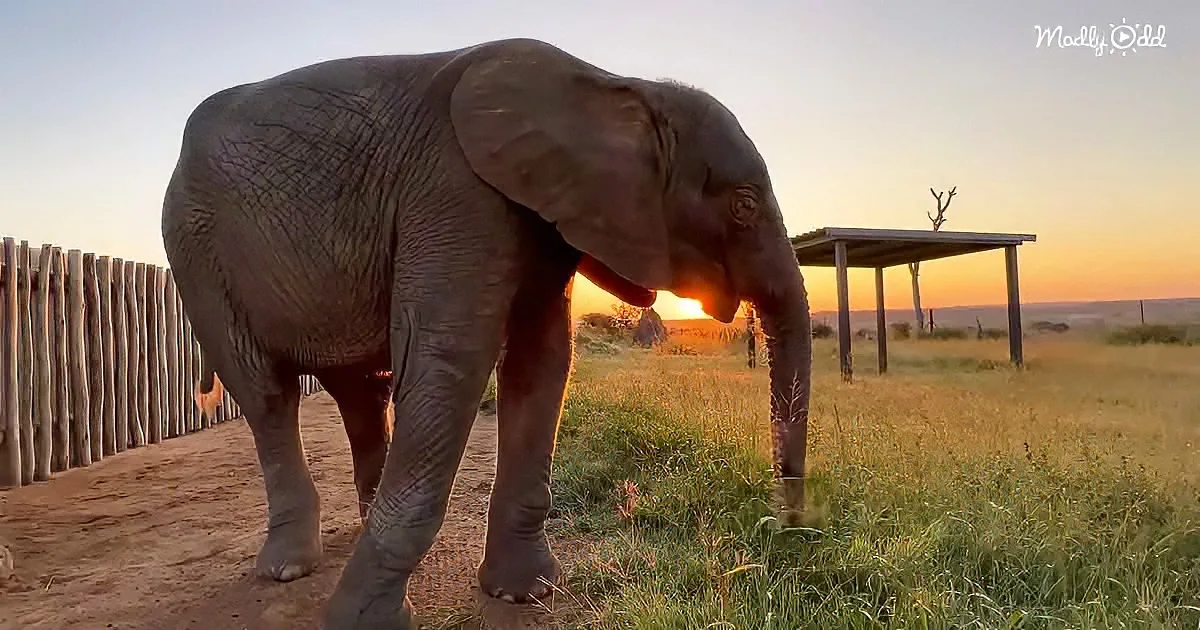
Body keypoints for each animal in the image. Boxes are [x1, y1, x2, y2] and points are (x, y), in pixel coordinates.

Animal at [162, 37, 813, 630]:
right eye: (744, 204)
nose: (785, 530)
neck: (613, 86)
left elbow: (541, 360)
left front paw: (524, 594)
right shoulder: (455, 192)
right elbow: (450, 360)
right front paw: (362, 620)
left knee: (361, 392)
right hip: (195, 250)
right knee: (268, 394)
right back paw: (288, 569)